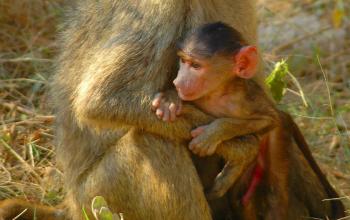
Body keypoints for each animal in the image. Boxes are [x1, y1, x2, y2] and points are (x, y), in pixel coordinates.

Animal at [0, 0, 258, 220]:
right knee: (151, 139)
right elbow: (101, 100)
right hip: (96, 196)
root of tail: (70, 204)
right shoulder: (159, 9)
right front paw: (242, 147)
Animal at [152, 21, 344, 218]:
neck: (216, 93)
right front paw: (170, 99)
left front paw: (214, 133)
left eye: (196, 66)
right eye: (183, 61)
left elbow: (269, 119)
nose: (178, 82)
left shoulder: (244, 99)